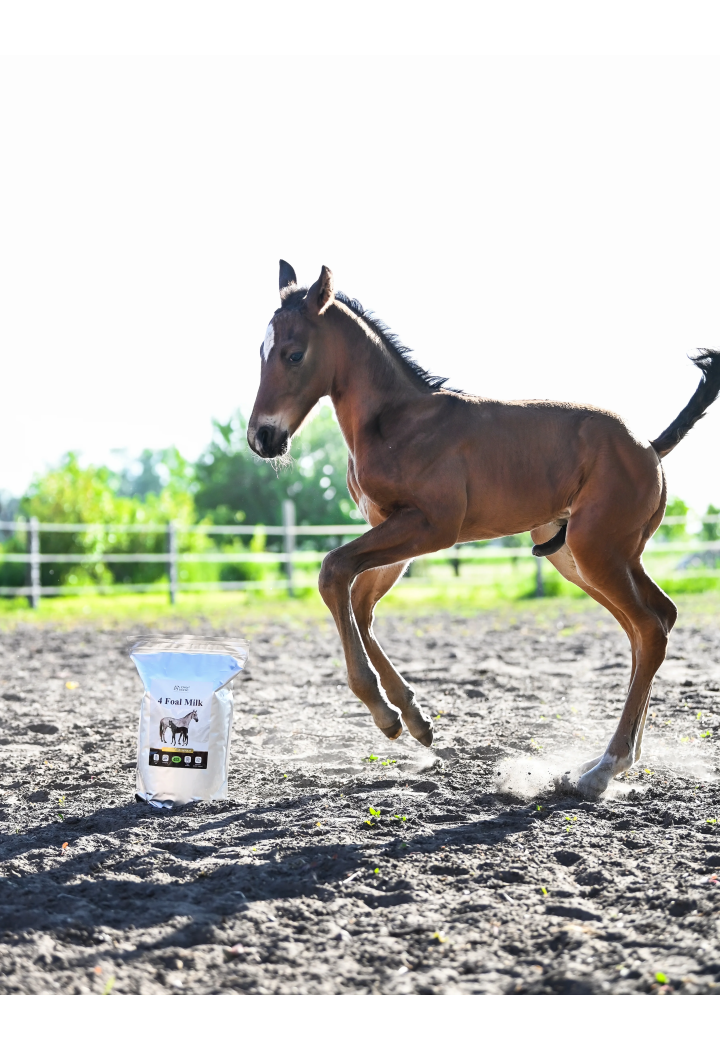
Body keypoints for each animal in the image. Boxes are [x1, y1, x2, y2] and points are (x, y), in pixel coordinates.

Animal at [248, 260, 720, 797]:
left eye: (294, 353)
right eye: (260, 352)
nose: (262, 437)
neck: (396, 420)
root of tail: (650, 447)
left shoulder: (431, 527)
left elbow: (333, 572)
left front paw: (386, 714)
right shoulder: (394, 530)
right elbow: (360, 601)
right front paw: (415, 720)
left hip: (596, 551)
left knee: (650, 628)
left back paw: (603, 768)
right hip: (586, 557)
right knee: (655, 622)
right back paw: (615, 760)